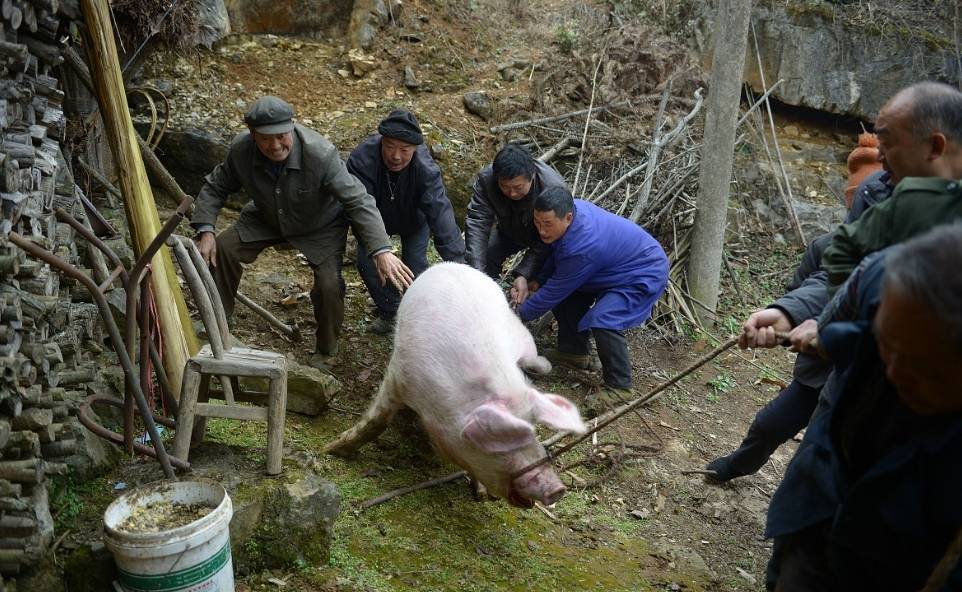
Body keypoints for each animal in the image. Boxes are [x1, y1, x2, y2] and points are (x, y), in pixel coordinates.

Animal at [324, 264, 584, 508]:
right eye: (501, 436)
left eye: (532, 427)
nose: (557, 488)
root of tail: (455, 265)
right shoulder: (400, 374)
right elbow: (377, 422)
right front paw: (331, 449)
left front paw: (482, 495)